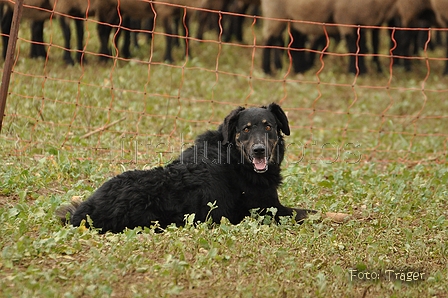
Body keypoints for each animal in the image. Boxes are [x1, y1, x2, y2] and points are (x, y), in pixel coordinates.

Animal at [57, 103, 348, 233]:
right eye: (245, 129)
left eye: (268, 126)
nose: (259, 151)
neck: (236, 159)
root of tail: (85, 212)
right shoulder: (268, 211)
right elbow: (310, 212)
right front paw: (343, 215)